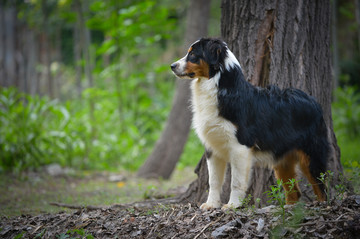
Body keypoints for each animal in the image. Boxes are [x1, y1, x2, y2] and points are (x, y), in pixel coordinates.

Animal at [171, 37, 330, 209]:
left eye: (193, 54)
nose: (172, 66)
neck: (220, 88)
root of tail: (313, 101)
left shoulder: (240, 147)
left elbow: (236, 182)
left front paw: (232, 205)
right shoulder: (212, 147)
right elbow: (213, 181)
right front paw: (211, 204)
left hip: (311, 155)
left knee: (321, 187)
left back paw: (324, 206)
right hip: (283, 160)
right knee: (294, 191)